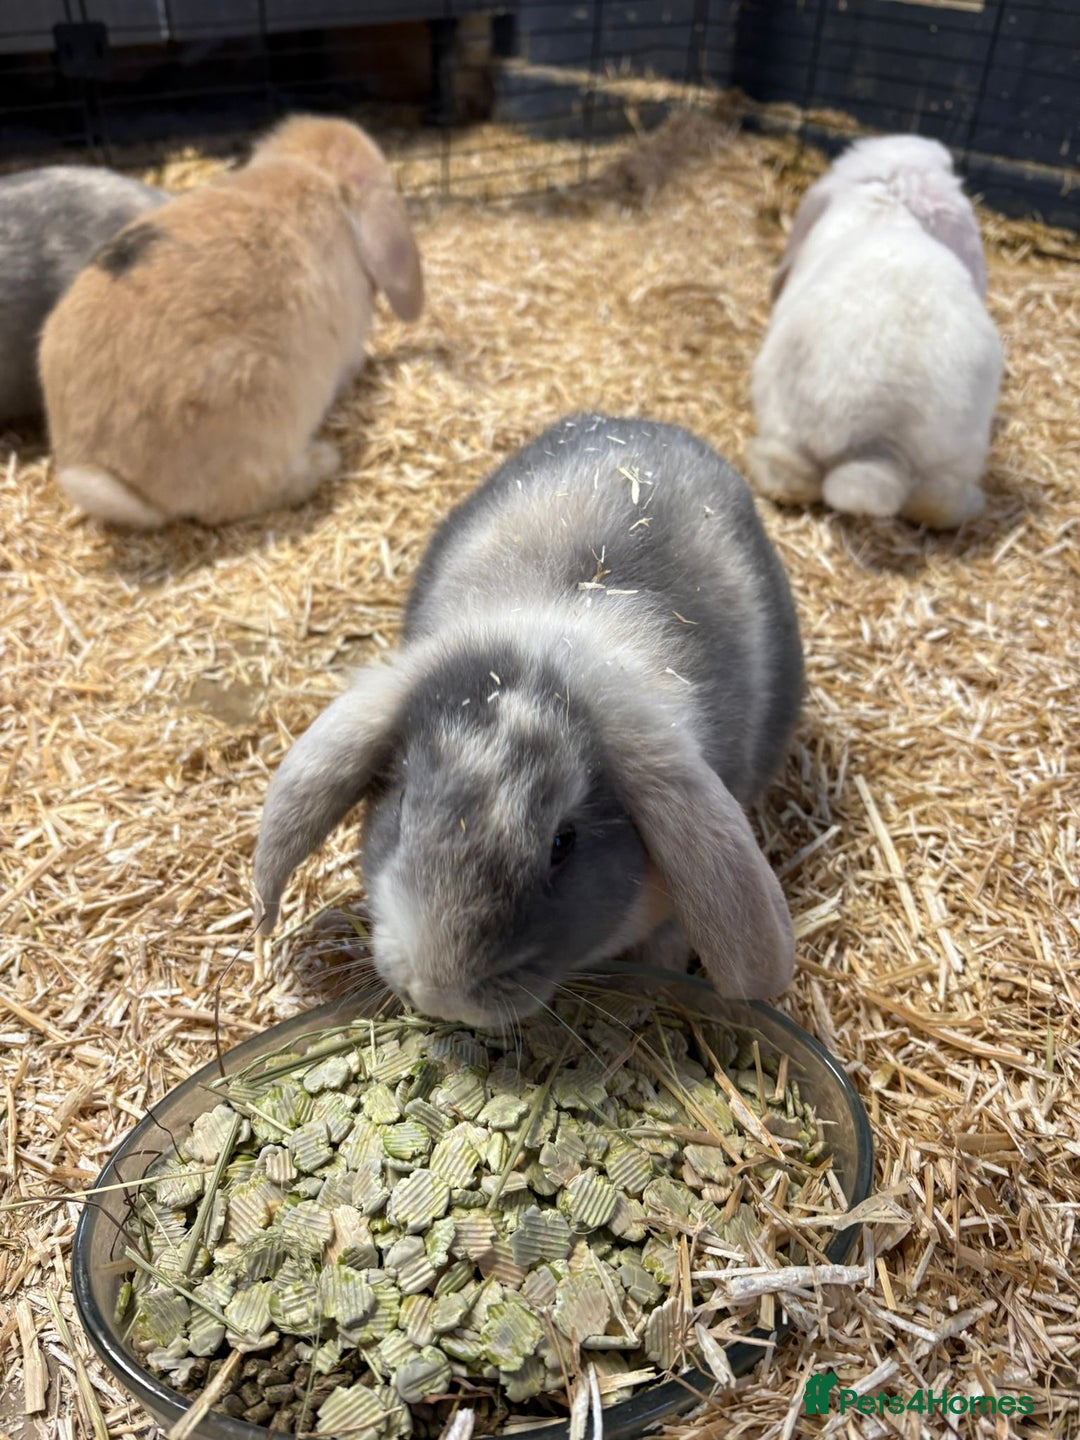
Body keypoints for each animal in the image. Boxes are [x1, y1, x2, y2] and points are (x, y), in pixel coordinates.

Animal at [747, 134, 1003, 530]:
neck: (890, 205)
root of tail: (881, 447)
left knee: (789, 477)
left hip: (782, 417)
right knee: (937, 505)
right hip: (959, 454)